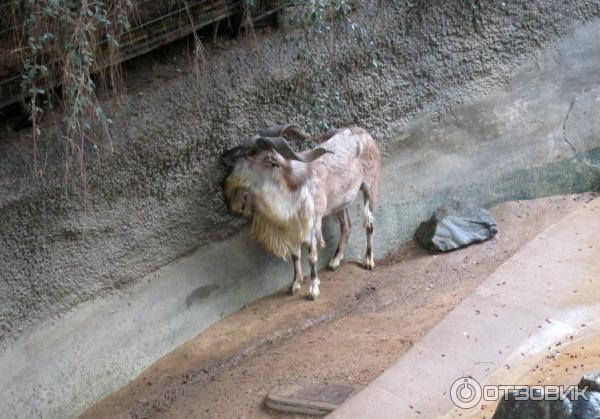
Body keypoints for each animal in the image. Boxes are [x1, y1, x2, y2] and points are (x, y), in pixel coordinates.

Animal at [223, 124, 382, 302]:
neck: (290, 188)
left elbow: (312, 258)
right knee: (346, 225)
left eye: (250, 153)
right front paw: (295, 284)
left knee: (369, 224)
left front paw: (313, 291)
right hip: (340, 203)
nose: (224, 157)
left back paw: (368, 261)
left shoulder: (312, 225)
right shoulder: (293, 227)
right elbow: (295, 255)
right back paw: (335, 261)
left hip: (370, 187)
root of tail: (364, 133)